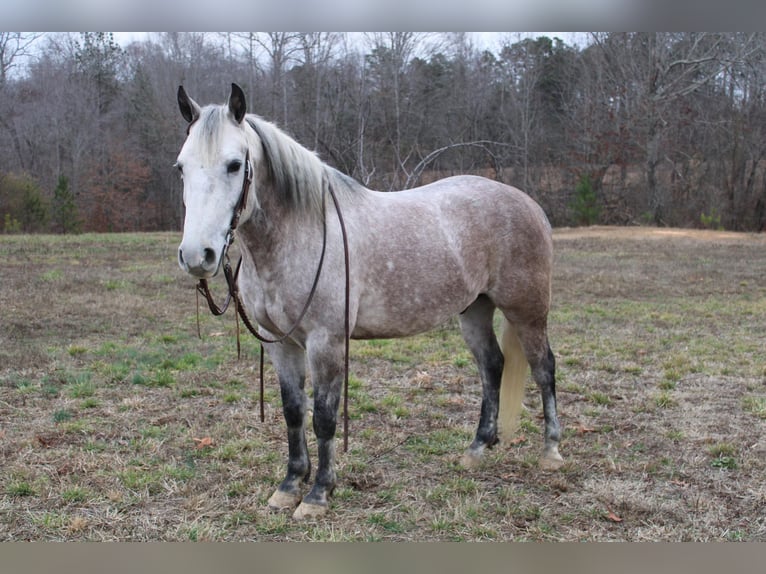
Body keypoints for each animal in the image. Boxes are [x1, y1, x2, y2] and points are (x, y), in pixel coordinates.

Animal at [177, 82, 568, 520]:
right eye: (181, 167)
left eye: (233, 165)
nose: (197, 255)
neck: (301, 230)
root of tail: (529, 204)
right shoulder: (280, 342)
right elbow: (293, 412)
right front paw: (289, 486)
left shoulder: (326, 342)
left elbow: (324, 418)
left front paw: (318, 494)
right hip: (475, 310)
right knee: (493, 366)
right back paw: (477, 448)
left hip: (527, 310)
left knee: (544, 368)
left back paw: (551, 452)